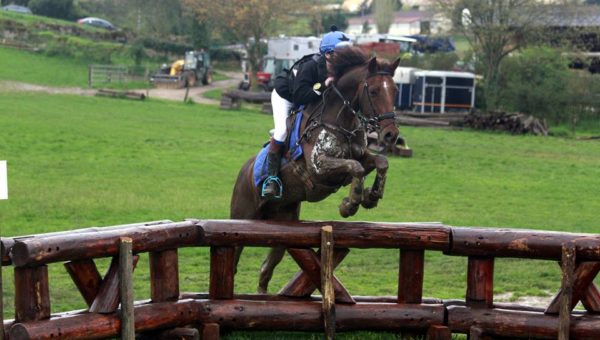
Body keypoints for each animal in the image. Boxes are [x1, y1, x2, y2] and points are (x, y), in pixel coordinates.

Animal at [232, 46, 400, 294]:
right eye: (375, 91)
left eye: (395, 90)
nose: (391, 134)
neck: (340, 120)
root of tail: (243, 172)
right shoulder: (318, 167)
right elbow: (356, 168)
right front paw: (350, 204)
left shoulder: (361, 155)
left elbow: (380, 162)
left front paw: (371, 196)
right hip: (242, 218)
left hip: (282, 227)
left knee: (265, 269)